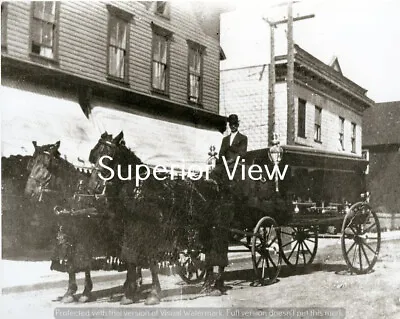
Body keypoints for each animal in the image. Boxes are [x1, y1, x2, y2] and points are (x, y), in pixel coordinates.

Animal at [87, 132, 227, 304]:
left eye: (109, 157)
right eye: (94, 156)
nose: (92, 187)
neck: (138, 188)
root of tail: (214, 183)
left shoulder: (151, 231)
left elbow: (150, 260)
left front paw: (153, 293)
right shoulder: (129, 230)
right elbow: (129, 258)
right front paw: (129, 293)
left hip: (213, 228)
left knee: (216, 253)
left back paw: (215, 285)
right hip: (202, 229)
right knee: (208, 252)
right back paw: (208, 285)